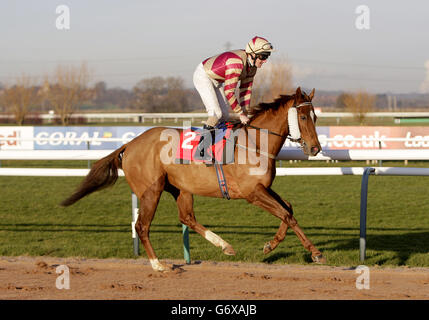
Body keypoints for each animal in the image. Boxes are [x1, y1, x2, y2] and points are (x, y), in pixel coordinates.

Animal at [61, 86, 324, 272]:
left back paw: (224, 245)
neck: (254, 143)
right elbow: (286, 214)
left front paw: (271, 244)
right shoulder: (252, 193)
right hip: (151, 189)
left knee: (186, 217)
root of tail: (129, 144)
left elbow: (288, 207)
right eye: (302, 117)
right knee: (142, 225)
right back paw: (158, 265)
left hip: (180, 188)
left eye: (315, 117)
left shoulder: (263, 188)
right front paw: (315, 252)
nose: (315, 148)